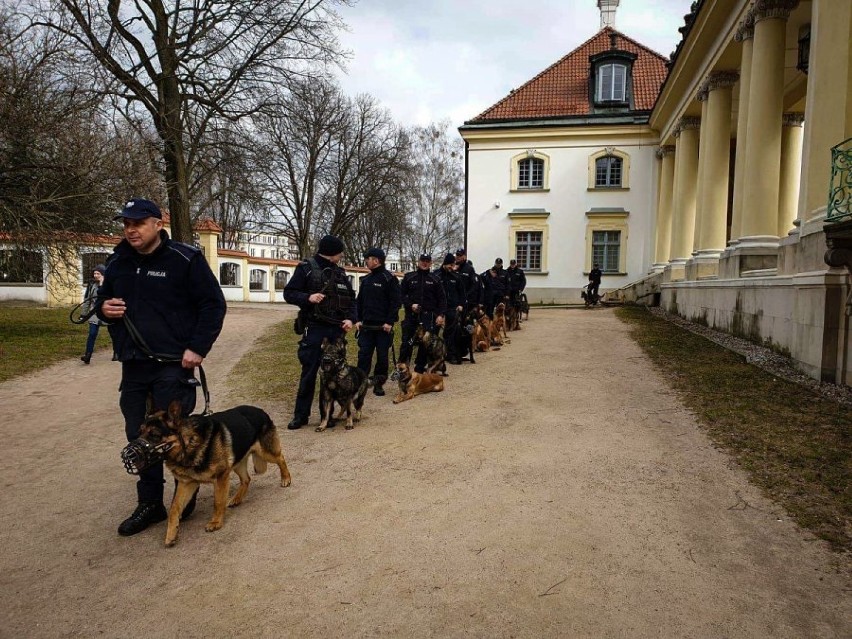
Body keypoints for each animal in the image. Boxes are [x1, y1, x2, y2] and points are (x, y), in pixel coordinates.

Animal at [140, 402, 292, 548]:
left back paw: (286, 479)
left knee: (281, 458)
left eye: (154, 435)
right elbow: (174, 508)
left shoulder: (221, 477)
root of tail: (260, 410)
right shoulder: (187, 484)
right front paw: (171, 534)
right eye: (139, 432)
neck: (189, 443)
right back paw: (236, 499)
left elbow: (218, 502)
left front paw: (216, 522)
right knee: (246, 479)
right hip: (237, 462)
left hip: (264, 453)